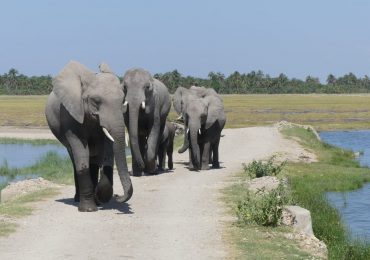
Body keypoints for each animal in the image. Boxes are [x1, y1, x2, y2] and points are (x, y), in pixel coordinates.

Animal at [44, 61, 132, 211]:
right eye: (96, 101)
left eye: (123, 101)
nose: (118, 196)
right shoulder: (70, 115)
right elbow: (81, 152)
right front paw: (88, 209)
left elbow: (102, 149)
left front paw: (100, 197)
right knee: (75, 158)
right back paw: (78, 199)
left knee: (93, 160)